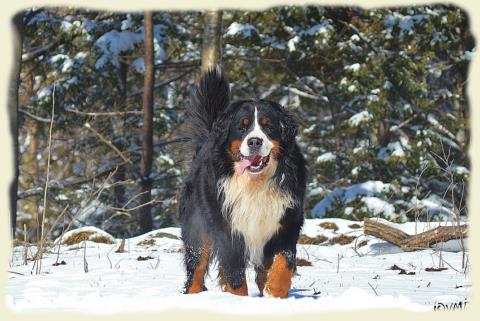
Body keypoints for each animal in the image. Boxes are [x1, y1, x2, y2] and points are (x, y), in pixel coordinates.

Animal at [178, 65, 306, 298]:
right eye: (242, 127)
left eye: (268, 127)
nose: (255, 141)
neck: (255, 182)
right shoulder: (228, 229)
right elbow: (235, 275)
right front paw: (239, 301)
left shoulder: (286, 222)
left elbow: (283, 261)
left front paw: (275, 292)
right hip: (197, 228)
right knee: (196, 269)